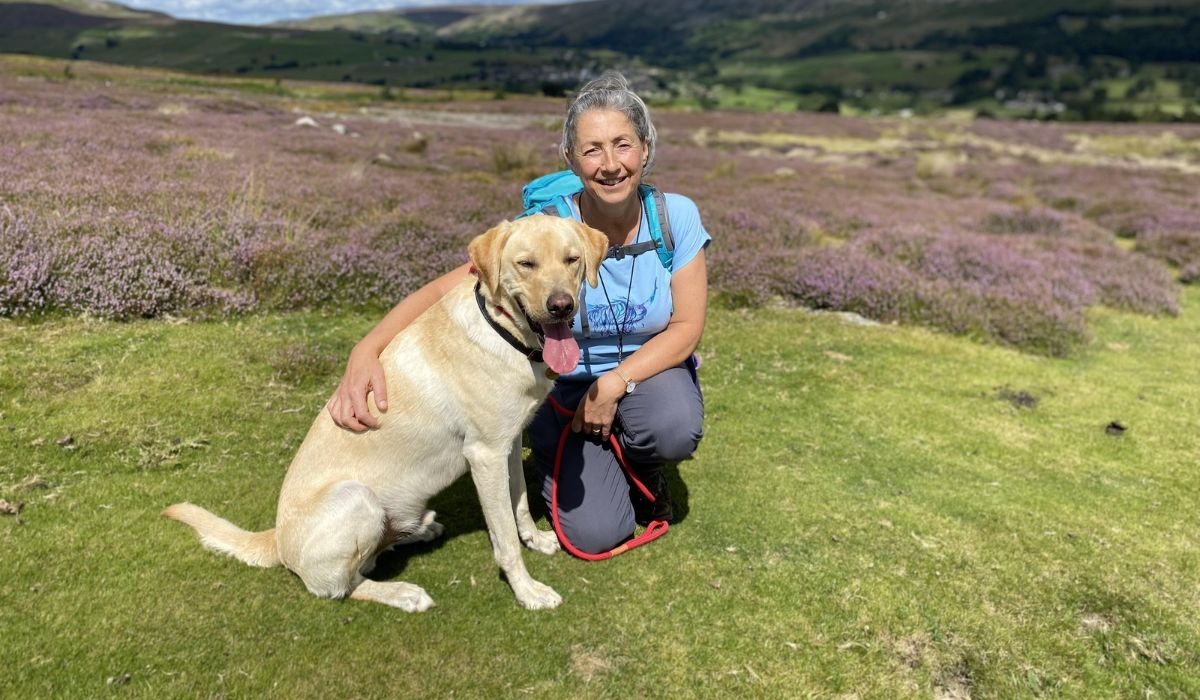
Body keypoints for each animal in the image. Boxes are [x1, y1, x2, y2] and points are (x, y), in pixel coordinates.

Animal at [164, 216, 604, 609]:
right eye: (525, 264)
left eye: (571, 260)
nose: (561, 306)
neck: (505, 333)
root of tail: (275, 539)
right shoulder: (485, 455)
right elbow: (504, 538)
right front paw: (527, 591)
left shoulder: (506, 446)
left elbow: (519, 503)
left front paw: (536, 540)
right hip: (358, 498)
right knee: (340, 586)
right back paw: (402, 592)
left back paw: (418, 530)